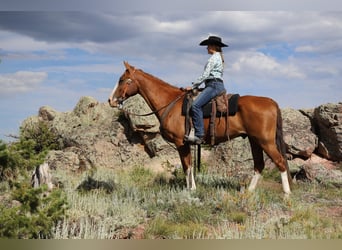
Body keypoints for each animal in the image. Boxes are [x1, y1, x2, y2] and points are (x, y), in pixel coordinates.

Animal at [109, 61, 292, 196]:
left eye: (122, 80)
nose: (111, 100)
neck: (170, 103)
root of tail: (272, 102)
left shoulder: (180, 143)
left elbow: (186, 167)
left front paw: (190, 190)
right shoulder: (186, 144)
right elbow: (189, 166)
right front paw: (192, 189)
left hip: (265, 141)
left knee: (280, 162)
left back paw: (286, 194)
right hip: (255, 141)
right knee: (259, 165)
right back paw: (249, 191)